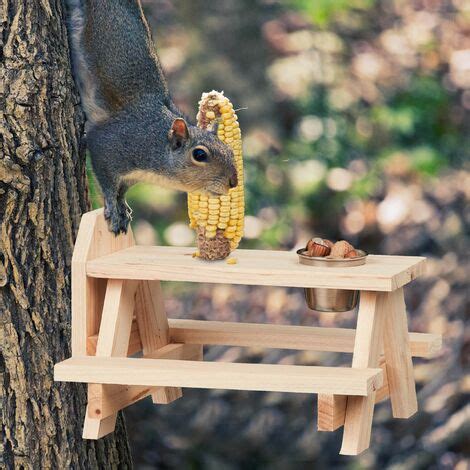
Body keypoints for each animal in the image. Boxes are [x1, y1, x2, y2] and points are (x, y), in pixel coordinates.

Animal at [65, 0, 239, 234]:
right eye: (200, 155)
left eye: (229, 149)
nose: (233, 182)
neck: (155, 143)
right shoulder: (107, 146)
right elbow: (108, 185)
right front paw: (114, 210)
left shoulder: (131, 176)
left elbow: (121, 191)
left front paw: (123, 207)